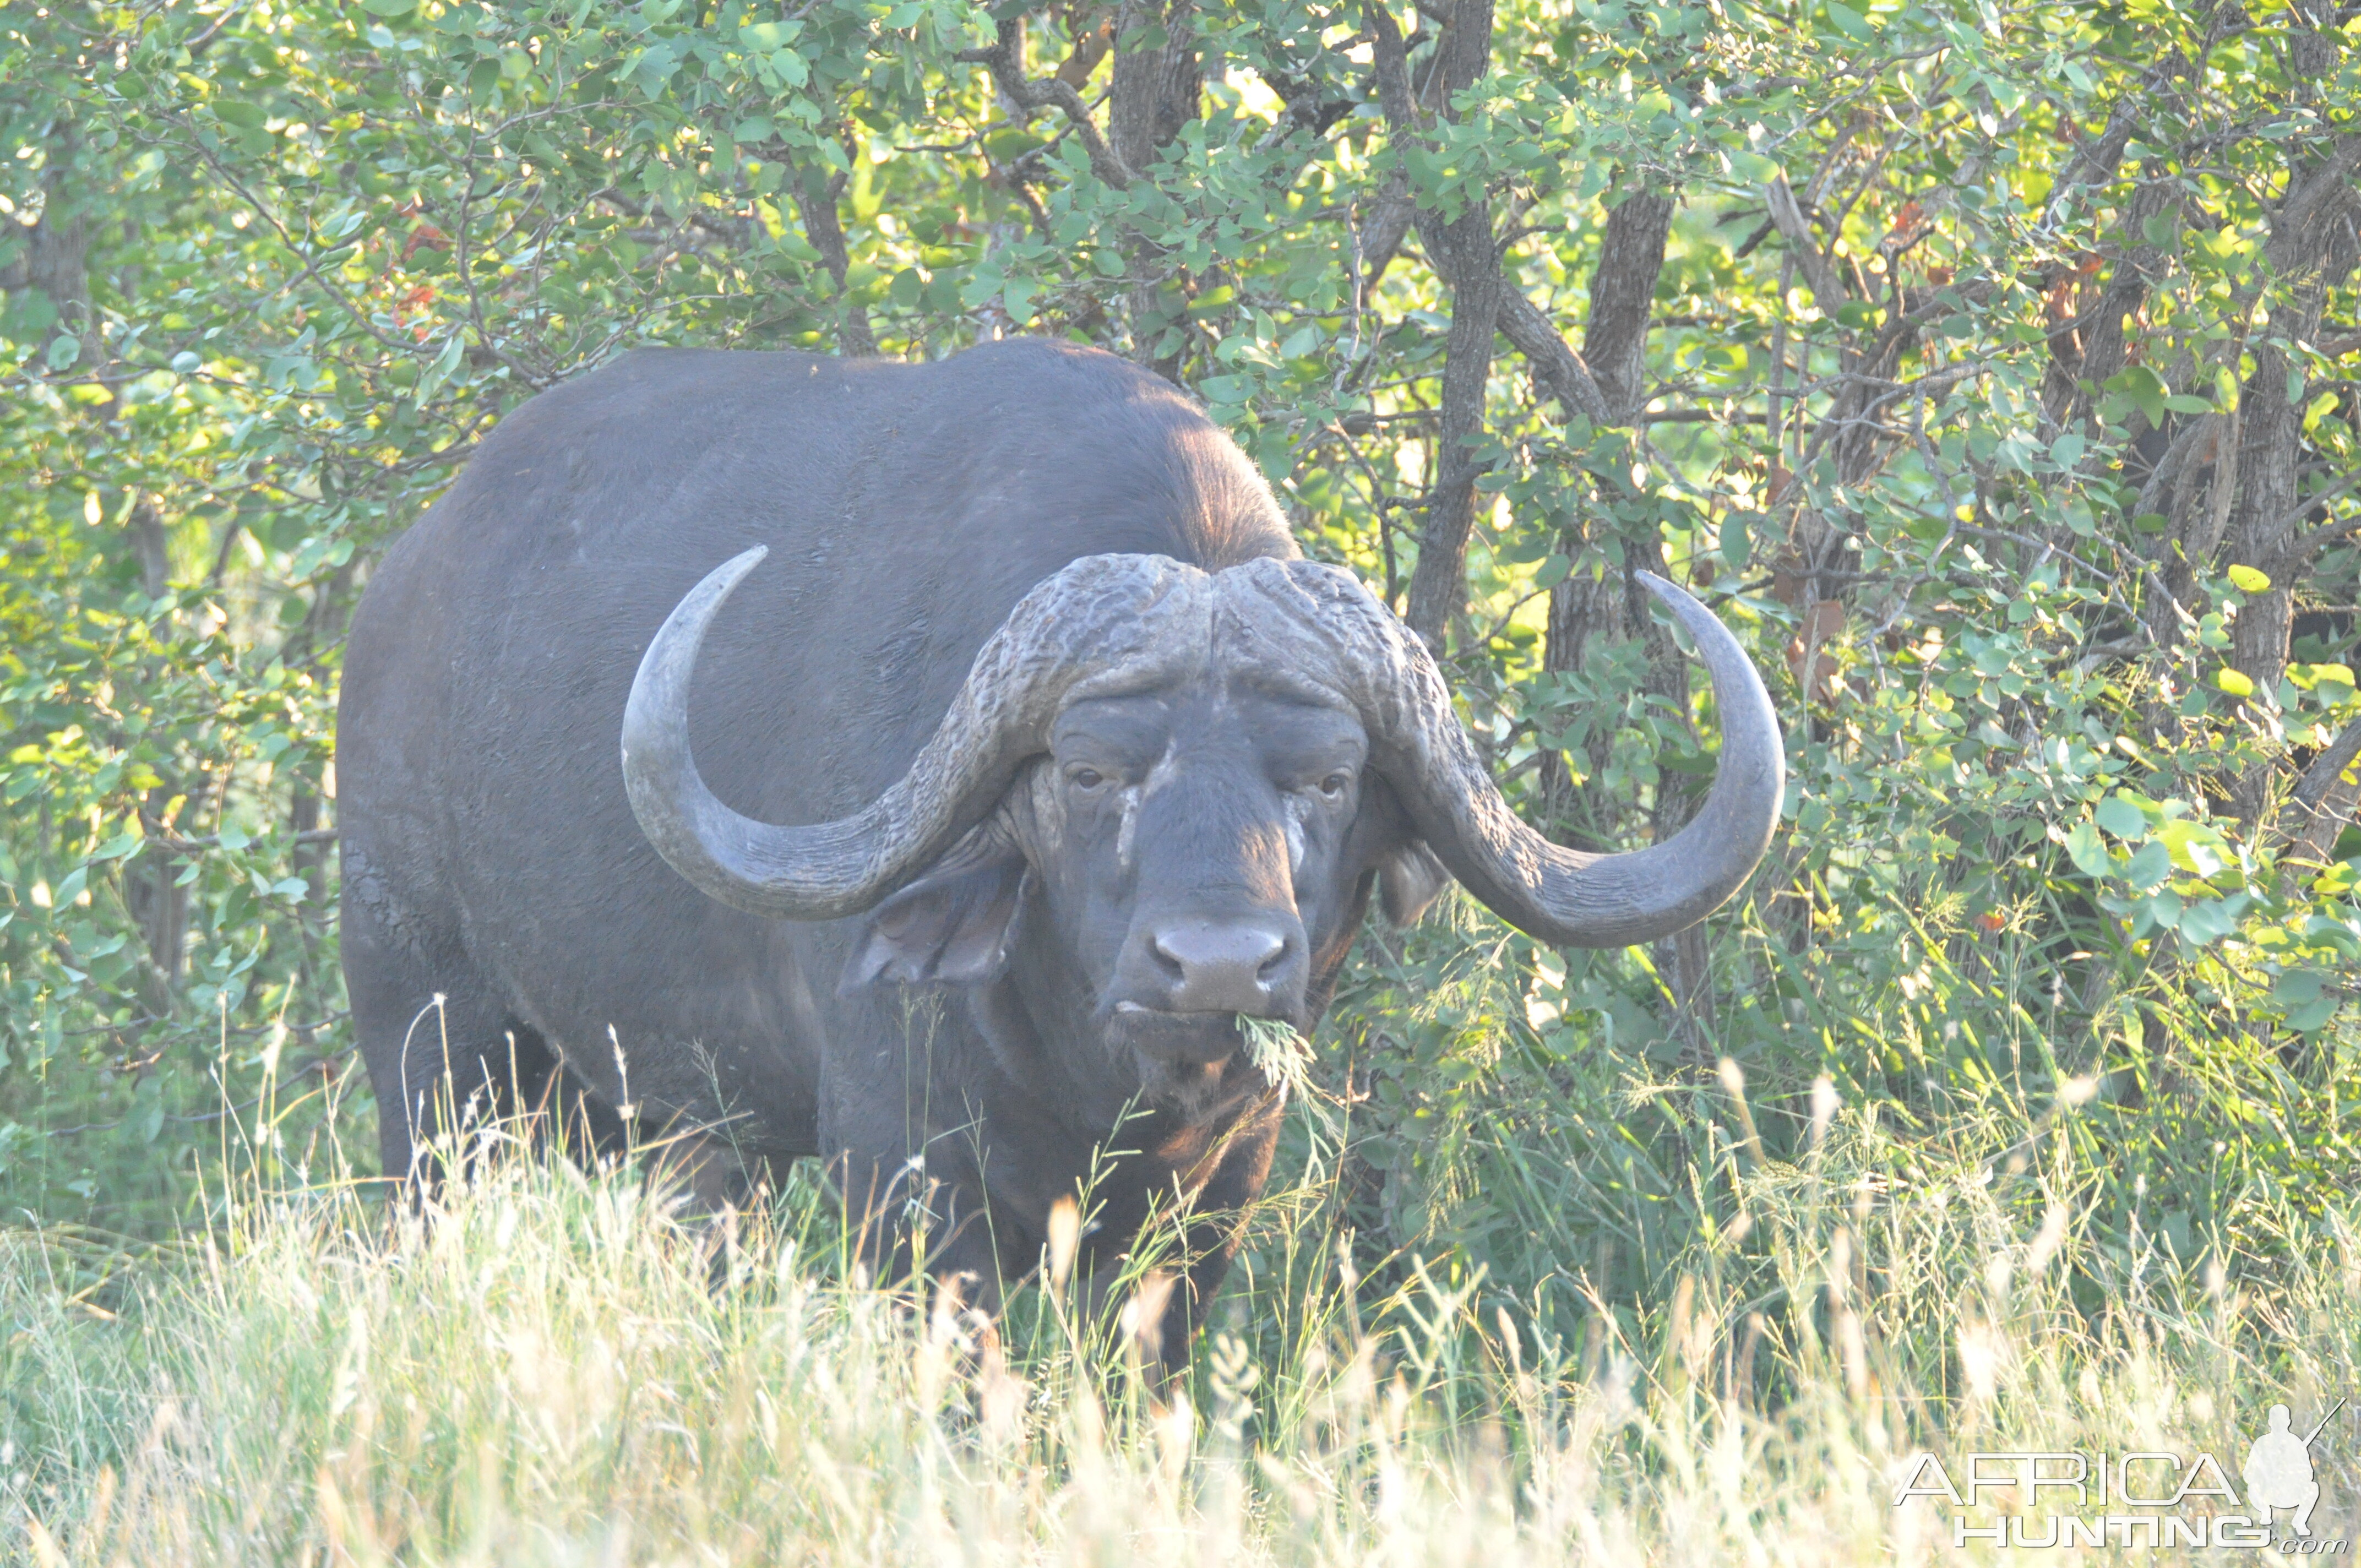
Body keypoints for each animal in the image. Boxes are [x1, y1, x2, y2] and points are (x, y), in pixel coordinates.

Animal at [328, 333, 1775, 1360]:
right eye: (1089, 771)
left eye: (1326, 778)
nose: (1217, 963)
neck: (1098, 1068)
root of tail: (403, 581)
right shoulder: (905, 1174)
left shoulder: (1213, 1198)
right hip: (432, 1040)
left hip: (672, 1118)